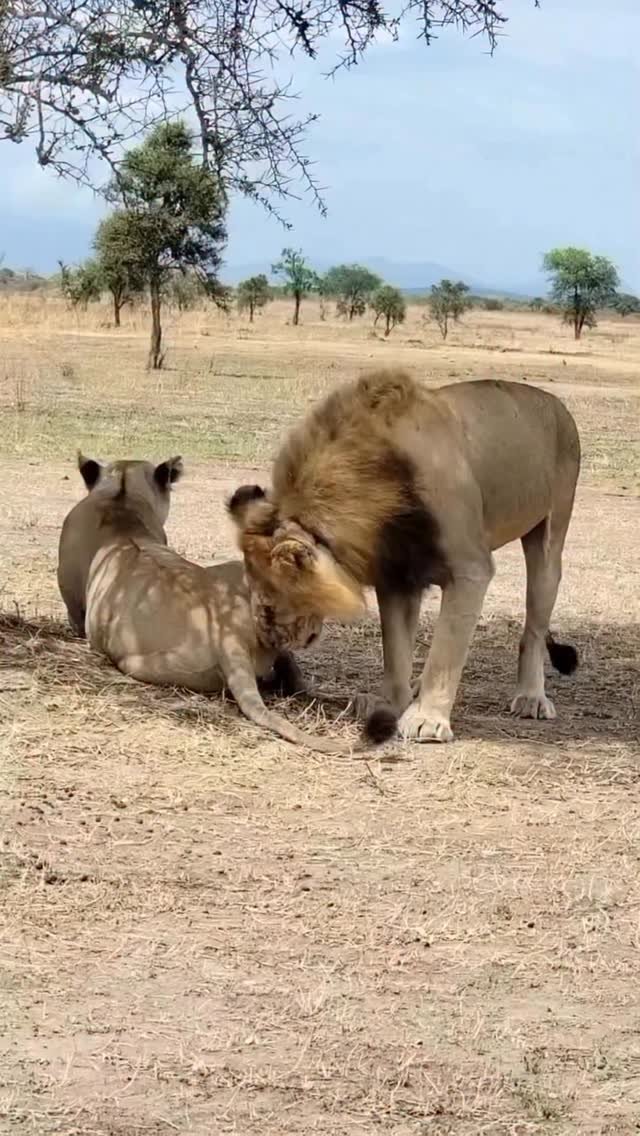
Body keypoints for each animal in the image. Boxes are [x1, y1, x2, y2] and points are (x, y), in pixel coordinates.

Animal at [229, 371, 581, 743]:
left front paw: (427, 718)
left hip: (550, 539)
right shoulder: (396, 575)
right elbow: (396, 650)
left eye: (270, 603)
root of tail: (555, 402)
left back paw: (531, 698)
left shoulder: (470, 568)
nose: (268, 642)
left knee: (534, 628)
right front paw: (391, 704)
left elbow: (445, 651)